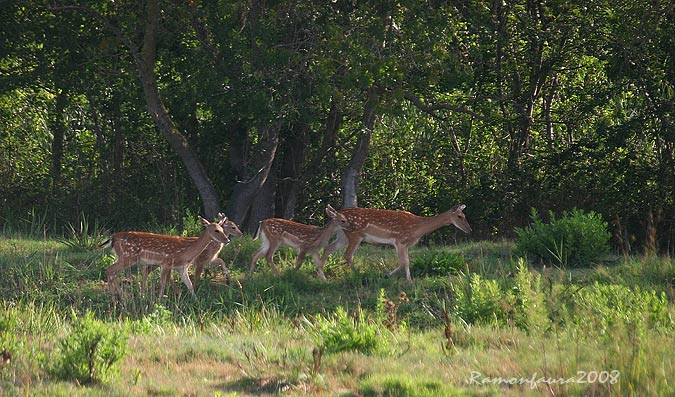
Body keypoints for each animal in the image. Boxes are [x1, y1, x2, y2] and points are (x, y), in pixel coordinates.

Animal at [101, 215, 231, 302]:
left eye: (223, 229)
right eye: (216, 230)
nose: (227, 240)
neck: (186, 253)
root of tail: (113, 238)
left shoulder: (182, 268)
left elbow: (190, 285)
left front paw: (196, 302)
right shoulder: (166, 263)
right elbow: (163, 283)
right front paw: (159, 301)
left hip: (125, 258)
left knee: (113, 273)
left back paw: (122, 298)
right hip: (128, 257)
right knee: (109, 269)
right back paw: (115, 300)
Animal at [320, 204, 470, 278]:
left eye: (464, 215)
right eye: (459, 216)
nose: (469, 229)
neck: (417, 227)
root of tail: (337, 215)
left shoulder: (406, 244)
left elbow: (406, 261)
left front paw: (406, 279)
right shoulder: (399, 240)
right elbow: (404, 262)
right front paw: (392, 276)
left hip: (343, 235)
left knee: (328, 248)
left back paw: (322, 274)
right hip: (355, 234)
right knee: (347, 254)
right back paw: (359, 274)